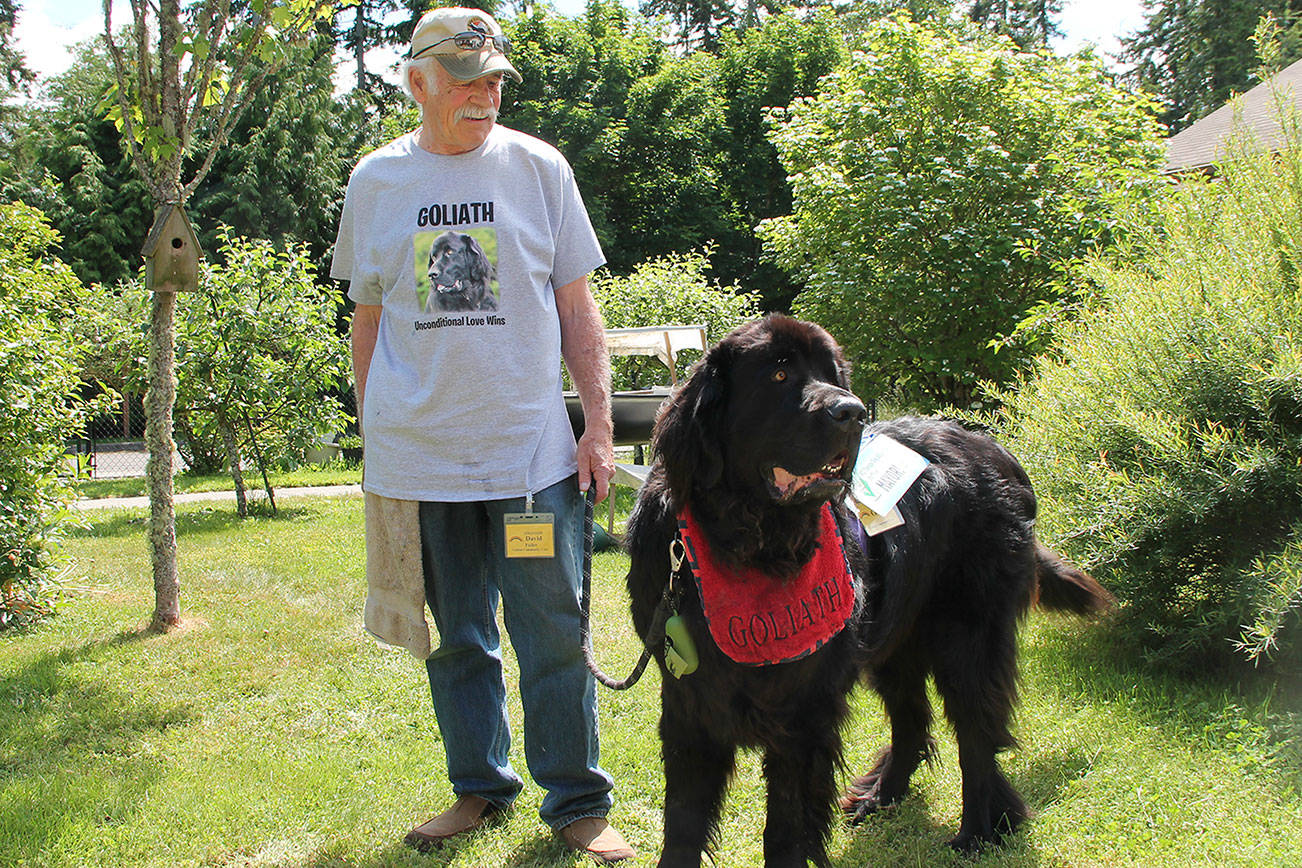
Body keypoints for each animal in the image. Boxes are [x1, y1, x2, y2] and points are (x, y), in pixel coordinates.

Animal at [624, 317, 1114, 868]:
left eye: (832, 374)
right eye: (778, 374)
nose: (853, 412)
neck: (747, 546)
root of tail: (997, 451)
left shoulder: (804, 712)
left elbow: (786, 826)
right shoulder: (689, 701)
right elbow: (683, 821)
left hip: (968, 633)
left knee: (976, 732)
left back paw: (979, 829)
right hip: (894, 633)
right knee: (912, 720)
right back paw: (882, 794)